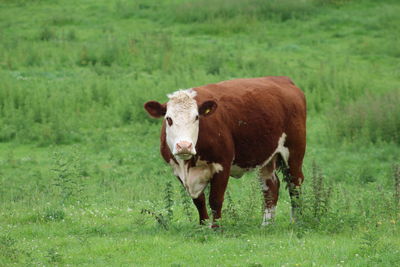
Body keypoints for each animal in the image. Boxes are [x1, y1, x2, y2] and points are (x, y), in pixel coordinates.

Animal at [145, 76, 306, 227]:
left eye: (196, 117)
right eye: (169, 119)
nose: (184, 145)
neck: (188, 165)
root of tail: (282, 79)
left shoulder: (222, 164)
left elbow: (215, 199)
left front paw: (216, 228)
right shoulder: (178, 170)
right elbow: (199, 201)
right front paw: (202, 225)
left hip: (294, 151)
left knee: (295, 184)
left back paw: (296, 221)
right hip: (267, 156)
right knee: (271, 187)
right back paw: (267, 224)